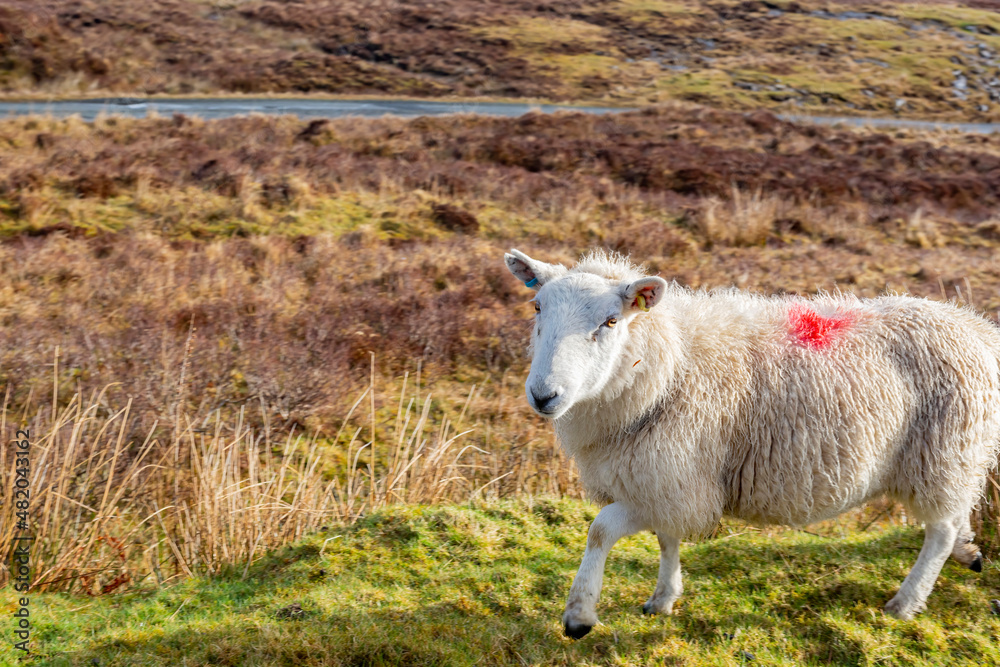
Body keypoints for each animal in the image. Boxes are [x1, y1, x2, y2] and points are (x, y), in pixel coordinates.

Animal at [504, 247, 1000, 639]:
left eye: (610, 321)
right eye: (537, 308)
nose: (544, 396)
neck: (668, 363)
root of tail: (976, 327)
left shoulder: (676, 483)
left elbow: (601, 530)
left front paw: (579, 615)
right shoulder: (668, 477)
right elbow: (667, 538)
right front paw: (663, 598)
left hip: (942, 452)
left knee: (939, 530)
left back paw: (906, 601)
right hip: (955, 456)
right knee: (957, 513)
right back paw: (968, 551)